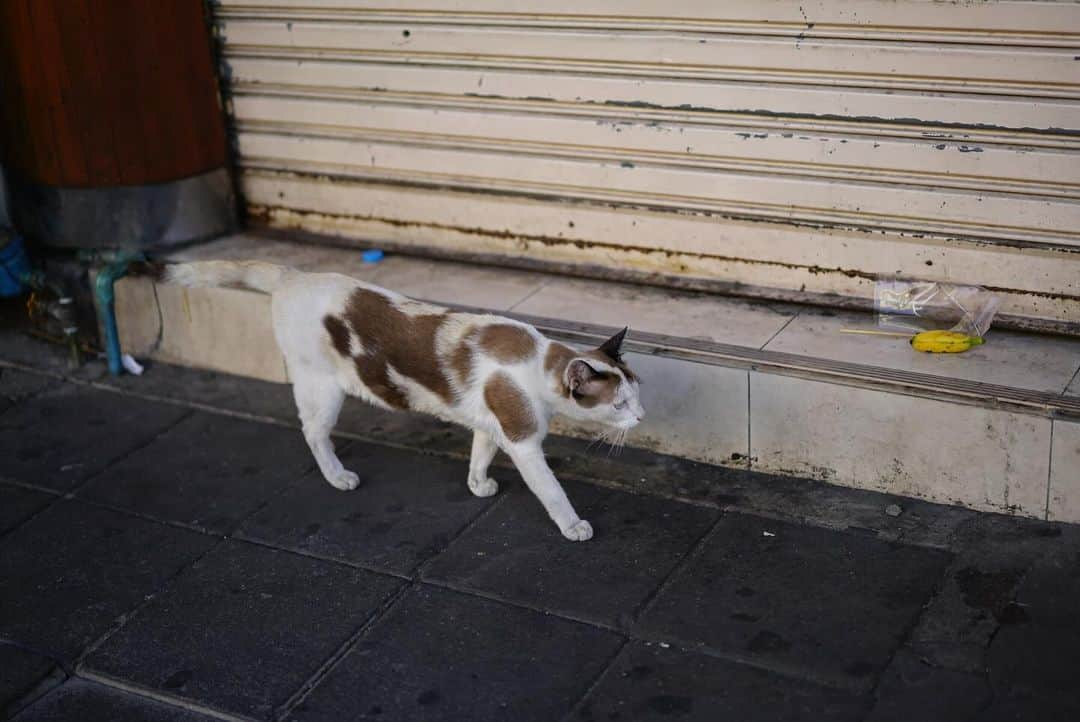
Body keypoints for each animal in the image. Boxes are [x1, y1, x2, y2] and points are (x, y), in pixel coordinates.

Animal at [159, 260, 639, 539]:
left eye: (637, 395)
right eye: (619, 405)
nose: (640, 417)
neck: (538, 361)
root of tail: (293, 276)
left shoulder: (491, 425)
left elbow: (479, 456)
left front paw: (478, 485)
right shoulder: (523, 442)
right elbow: (552, 491)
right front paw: (573, 526)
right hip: (322, 388)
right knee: (313, 432)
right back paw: (338, 477)